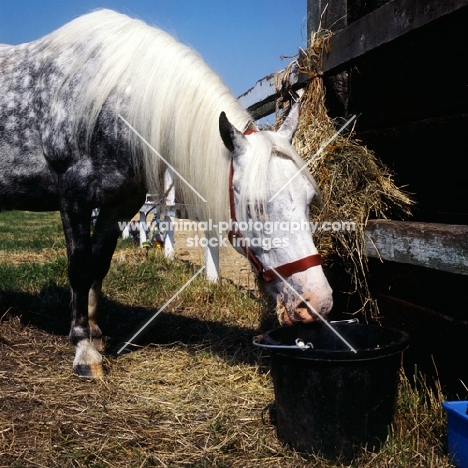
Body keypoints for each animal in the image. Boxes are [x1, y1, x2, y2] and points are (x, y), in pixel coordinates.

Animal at [0, 10, 332, 376]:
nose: (318, 303)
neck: (110, 102)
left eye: (309, 200)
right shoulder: (74, 198)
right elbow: (80, 268)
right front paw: (84, 350)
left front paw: (96, 335)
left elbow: (98, 266)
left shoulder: (119, 205)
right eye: (255, 206)